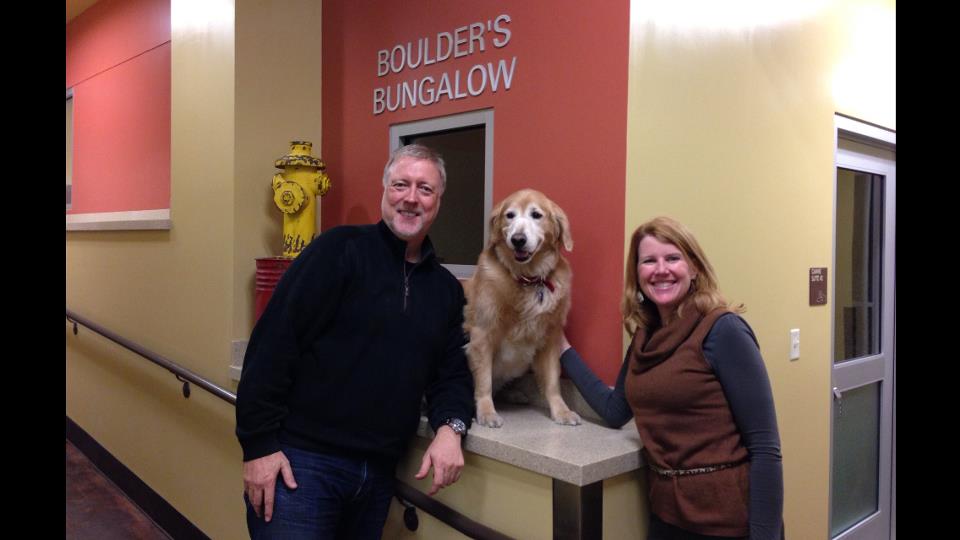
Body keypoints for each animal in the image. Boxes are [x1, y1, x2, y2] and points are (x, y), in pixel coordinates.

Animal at [463, 189, 581, 427]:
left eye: (536, 215)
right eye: (510, 215)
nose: (518, 239)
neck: (528, 279)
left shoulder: (551, 338)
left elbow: (552, 381)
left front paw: (561, 411)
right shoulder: (481, 334)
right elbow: (484, 380)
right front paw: (486, 411)